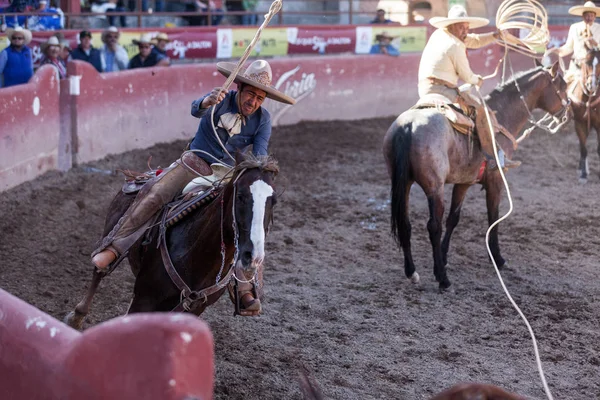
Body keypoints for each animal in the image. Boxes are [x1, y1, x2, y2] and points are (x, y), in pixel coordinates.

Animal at [64, 153, 280, 328]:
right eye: (241, 196)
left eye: (274, 201)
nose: (253, 256)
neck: (198, 257)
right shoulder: (144, 298)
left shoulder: (193, 309)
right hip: (112, 229)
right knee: (99, 270)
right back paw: (77, 317)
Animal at [384, 61, 572, 288]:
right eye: (563, 85)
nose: (568, 114)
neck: (501, 118)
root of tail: (408, 126)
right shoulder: (495, 180)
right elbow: (493, 217)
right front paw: (498, 259)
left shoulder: (463, 182)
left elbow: (454, 218)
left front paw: (444, 257)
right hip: (434, 188)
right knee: (433, 226)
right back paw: (442, 279)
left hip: (403, 184)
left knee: (405, 224)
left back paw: (412, 271)